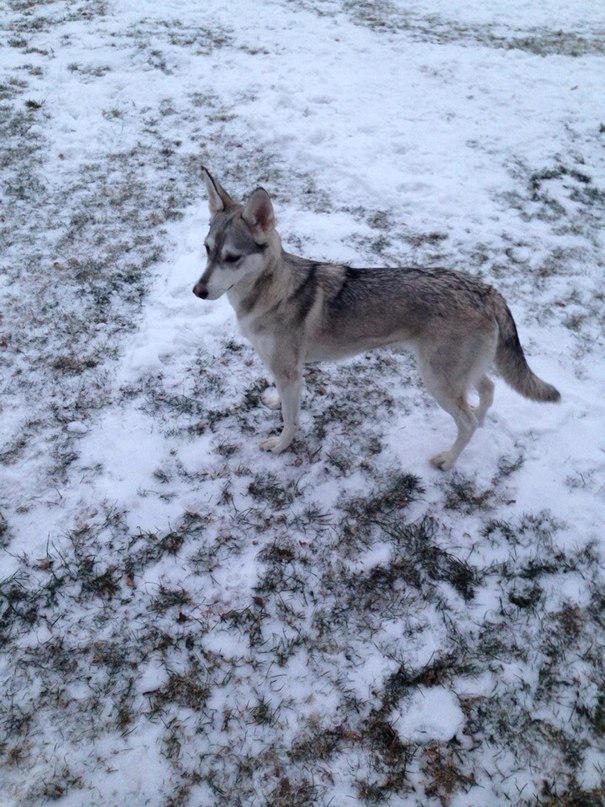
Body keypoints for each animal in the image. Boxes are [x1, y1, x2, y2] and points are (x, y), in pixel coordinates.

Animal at [192, 169, 560, 470]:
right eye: (207, 249)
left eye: (232, 258)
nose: (197, 291)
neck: (270, 290)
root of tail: (485, 289)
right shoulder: (284, 370)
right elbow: (283, 403)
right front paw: (272, 402)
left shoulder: (288, 371)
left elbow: (291, 419)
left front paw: (281, 445)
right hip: (457, 371)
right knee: (487, 390)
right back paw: (480, 425)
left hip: (436, 379)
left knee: (467, 419)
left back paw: (448, 460)